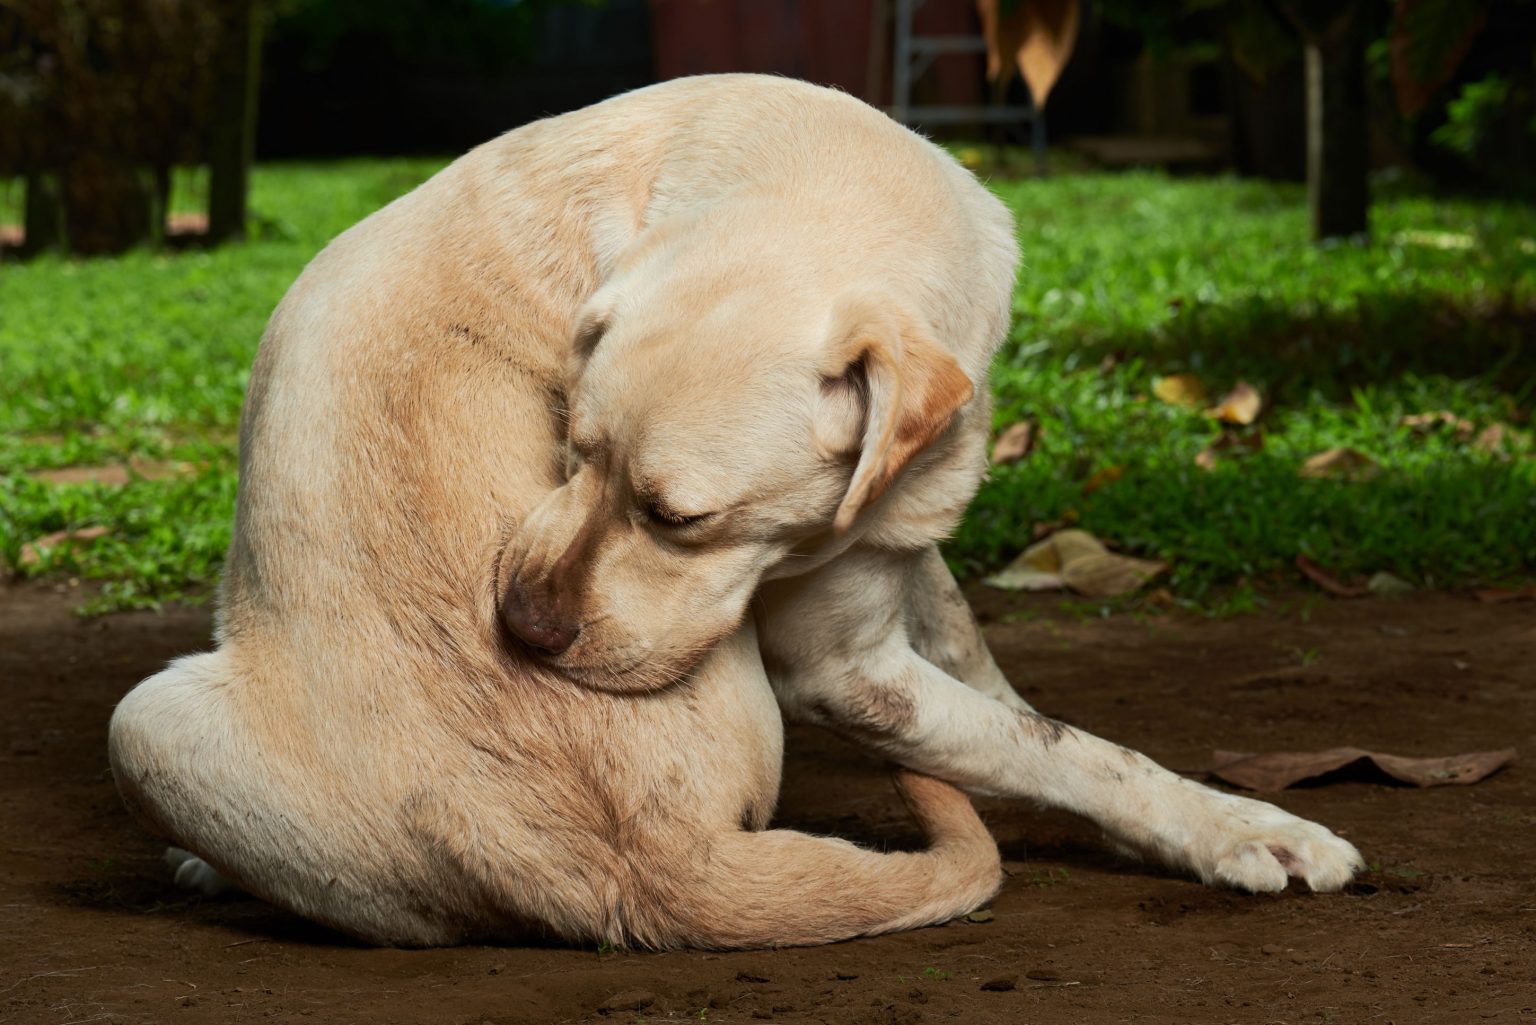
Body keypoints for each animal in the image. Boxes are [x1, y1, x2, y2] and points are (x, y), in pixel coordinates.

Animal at [105, 74, 1357, 952]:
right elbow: (1074, 747)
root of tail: (649, 869)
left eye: (681, 519)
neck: (812, 172)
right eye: (571, 450)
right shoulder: (846, 670)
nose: (521, 628)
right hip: (140, 719)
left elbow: (1018, 704)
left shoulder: (894, 560)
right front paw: (1247, 825)